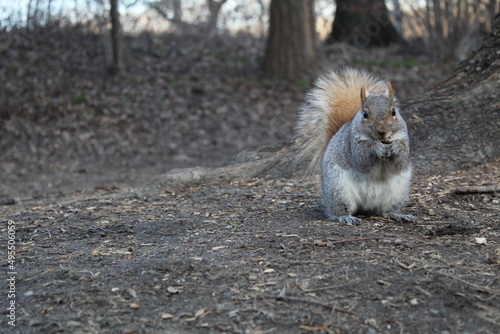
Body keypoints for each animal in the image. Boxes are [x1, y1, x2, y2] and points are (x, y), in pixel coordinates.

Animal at [296, 67, 414, 224]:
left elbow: (401, 160)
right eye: (365, 114)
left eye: (394, 112)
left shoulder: (404, 138)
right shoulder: (352, 143)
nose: (381, 131)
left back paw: (398, 214)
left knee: (386, 210)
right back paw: (346, 217)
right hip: (338, 188)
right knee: (338, 209)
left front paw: (396, 148)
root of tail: (367, 207)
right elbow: (361, 158)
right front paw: (375, 147)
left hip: (397, 193)